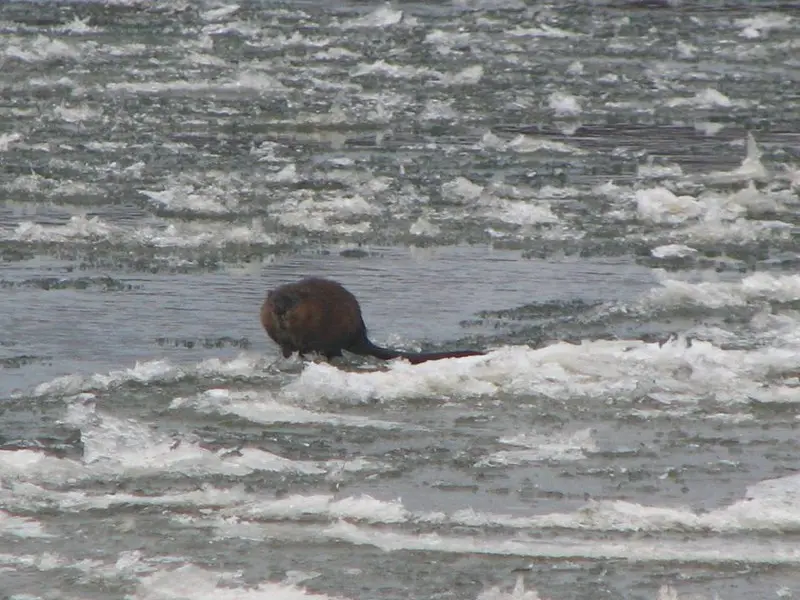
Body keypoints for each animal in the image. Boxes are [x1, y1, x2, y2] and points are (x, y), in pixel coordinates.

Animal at [262, 278, 484, 366]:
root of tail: (360, 336)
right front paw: (287, 354)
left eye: (292, 301)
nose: (279, 311)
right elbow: (284, 343)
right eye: (274, 301)